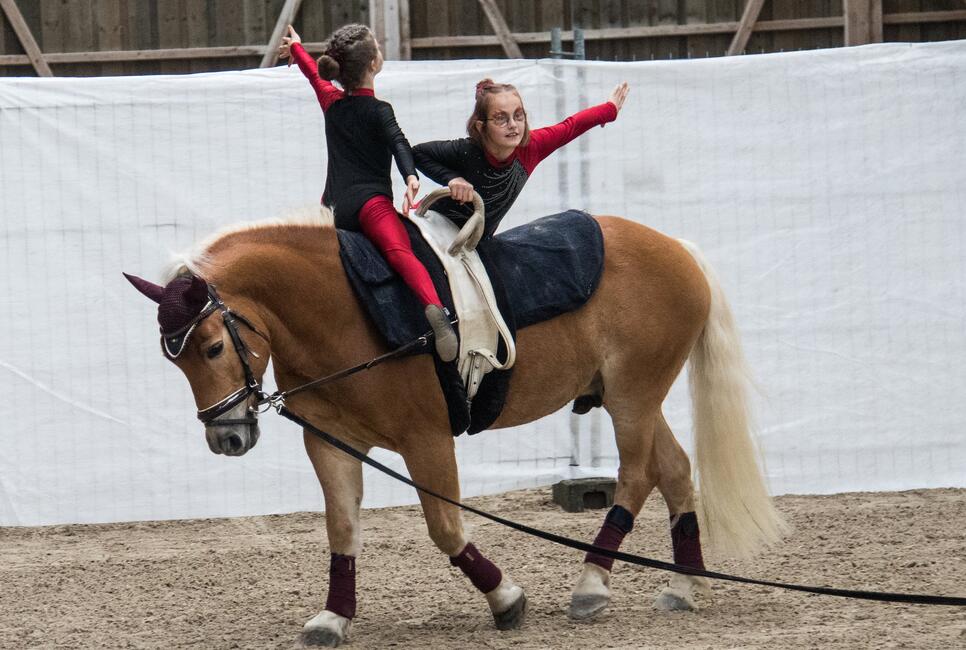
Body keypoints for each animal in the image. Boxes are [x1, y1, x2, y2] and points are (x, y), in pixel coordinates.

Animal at [125, 205, 785, 647]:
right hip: (633, 397)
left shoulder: (427, 440)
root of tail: (677, 246)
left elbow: (444, 528)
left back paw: (592, 585)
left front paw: (506, 599)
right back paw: (685, 586)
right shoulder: (331, 444)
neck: (343, 311)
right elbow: (342, 529)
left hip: (631, 396)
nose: (226, 438)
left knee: (639, 472)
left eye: (212, 347)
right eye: (173, 359)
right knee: (673, 468)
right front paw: (334, 617)